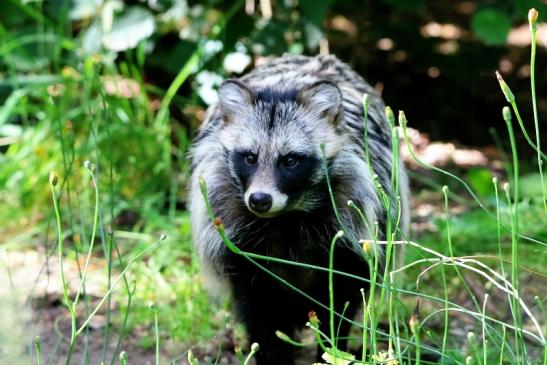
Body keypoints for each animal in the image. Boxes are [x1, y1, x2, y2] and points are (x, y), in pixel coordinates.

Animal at [188, 54, 406, 364]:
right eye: (250, 157)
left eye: (290, 160)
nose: (260, 199)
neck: (286, 219)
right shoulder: (237, 241)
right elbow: (259, 312)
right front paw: (273, 356)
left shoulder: (350, 234)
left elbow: (339, 302)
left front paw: (332, 350)